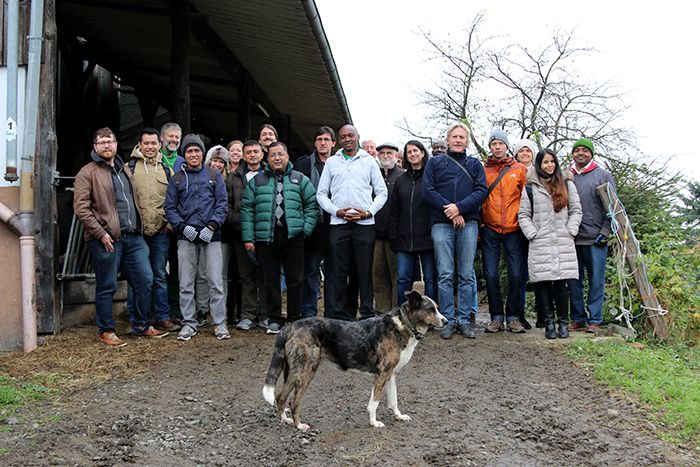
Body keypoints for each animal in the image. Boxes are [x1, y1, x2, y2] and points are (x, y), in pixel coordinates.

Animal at [260, 292, 446, 432]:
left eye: (437, 308)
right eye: (430, 309)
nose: (446, 321)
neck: (403, 324)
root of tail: (290, 326)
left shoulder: (391, 374)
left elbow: (393, 400)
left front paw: (398, 416)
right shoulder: (382, 374)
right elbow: (374, 402)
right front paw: (374, 422)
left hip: (295, 372)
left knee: (281, 396)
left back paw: (285, 420)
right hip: (306, 371)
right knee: (294, 401)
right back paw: (299, 426)